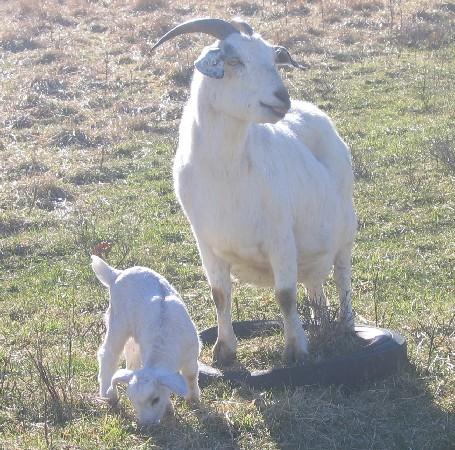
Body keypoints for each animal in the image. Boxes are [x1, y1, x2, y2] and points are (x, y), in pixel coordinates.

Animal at [91, 255, 200, 424]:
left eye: (155, 399)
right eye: (132, 401)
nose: (146, 425)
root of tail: (116, 274)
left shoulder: (191, 355)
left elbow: (191, 375)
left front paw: (193, 399)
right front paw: (171, 407)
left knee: (130, 352)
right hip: (118, 321)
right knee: (108, 354)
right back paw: (108, 394)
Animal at [151, 19, 358, 368]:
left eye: (273, 59)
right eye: (234, 61)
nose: (282, 99)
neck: (225, 172)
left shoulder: (281, 237)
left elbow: (285, 295)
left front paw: (296, 350)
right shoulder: (206, 243)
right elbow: (220, 295)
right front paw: (223, 352)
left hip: (345, 231)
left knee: (342, 274)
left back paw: (345, 324)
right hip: (312, 253)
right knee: (315, 286)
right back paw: (321, 324)